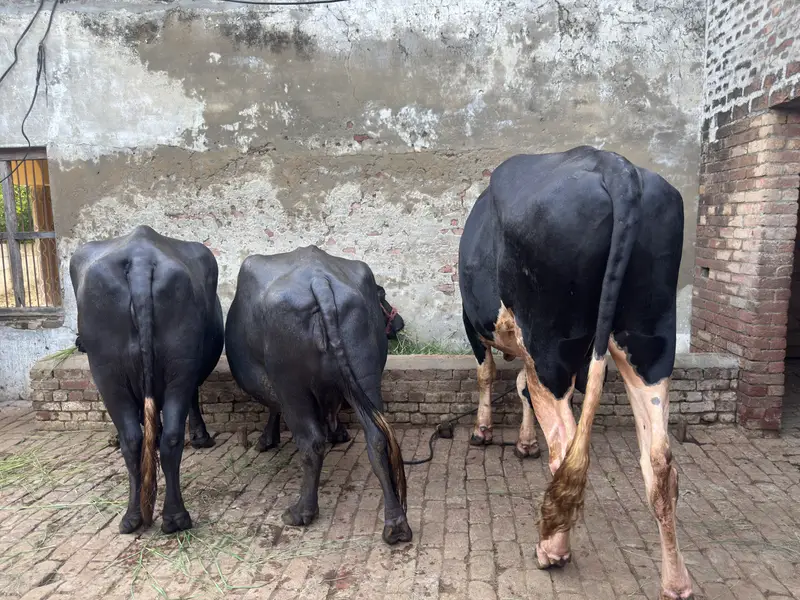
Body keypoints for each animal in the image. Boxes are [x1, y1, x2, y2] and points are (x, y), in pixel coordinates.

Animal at [70, 225, 224, 535]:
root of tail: (140, 261)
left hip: (109, 372)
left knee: (137, 438)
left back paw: (151, 517)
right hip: (171, 367)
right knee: (157, 438)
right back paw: (159, 517)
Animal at [224, 246, 411, 545]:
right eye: (382, 295)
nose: (400, 322)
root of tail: (319, 280)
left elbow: (274, 409)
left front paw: (266, 440)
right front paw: (339, 432)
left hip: (290, 386)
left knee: (311, 442)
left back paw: (300, 512)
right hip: (366, 373)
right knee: (378, 438)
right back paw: (396, 523)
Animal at [458, 146, 692, 599]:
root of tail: (614, 165)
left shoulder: (475, 325)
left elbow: (489, 374)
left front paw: (484, 431)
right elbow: (521, 387)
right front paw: (524, 441)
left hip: (550, 344)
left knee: (566, 448)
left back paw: (552, 550)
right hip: (650, 339)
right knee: (659, 464)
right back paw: (676, 581)